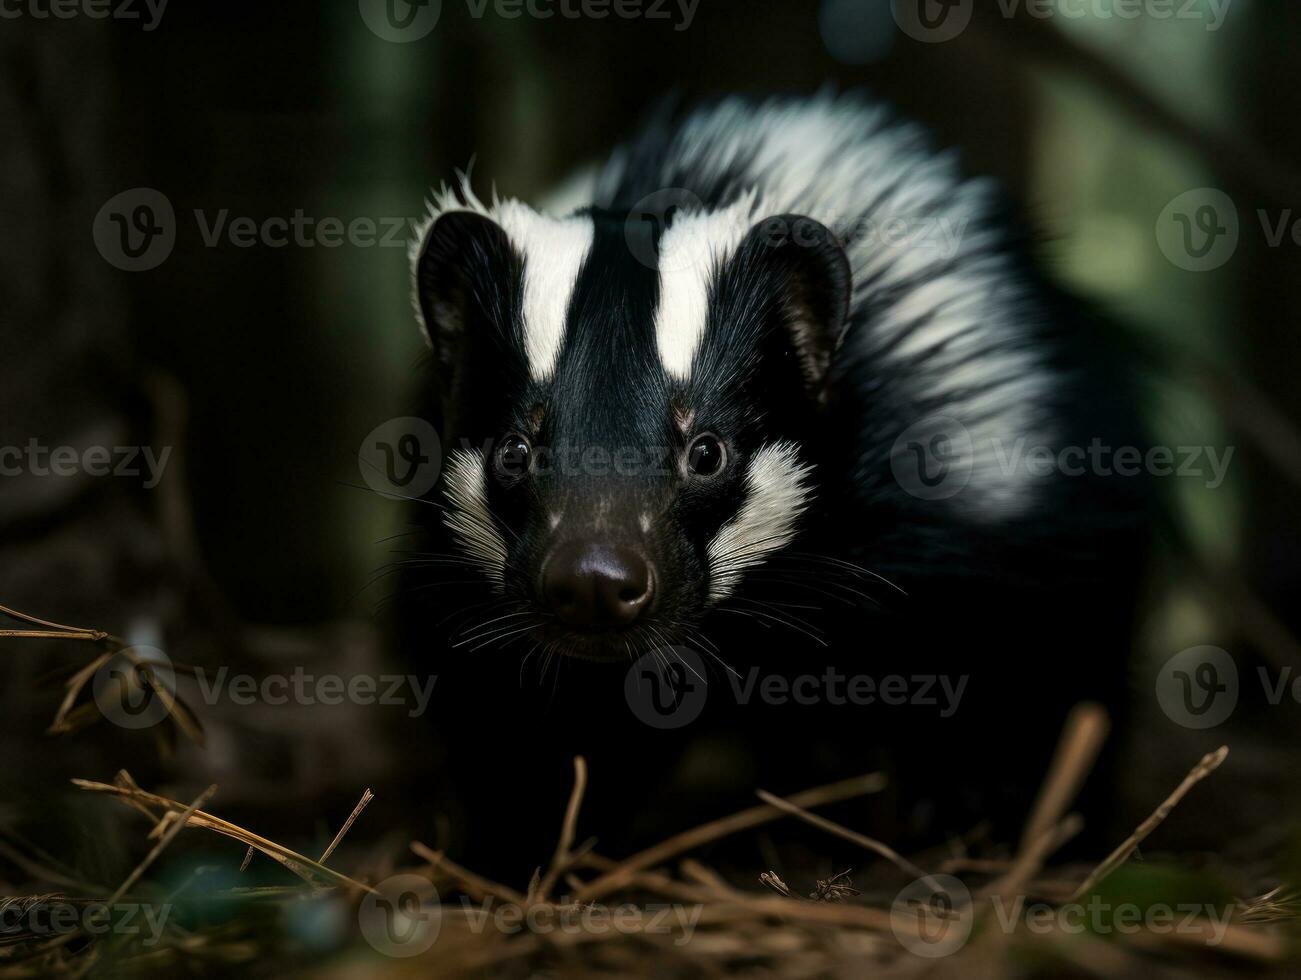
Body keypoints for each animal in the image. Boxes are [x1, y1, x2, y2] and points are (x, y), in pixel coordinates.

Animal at [398, 93, 1150, 879]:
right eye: (514, 450)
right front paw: (524, 846)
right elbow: (499, 692)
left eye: (707, 451)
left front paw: (968, 803)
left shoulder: (955, 485)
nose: (595, 578)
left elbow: (1013, 658)